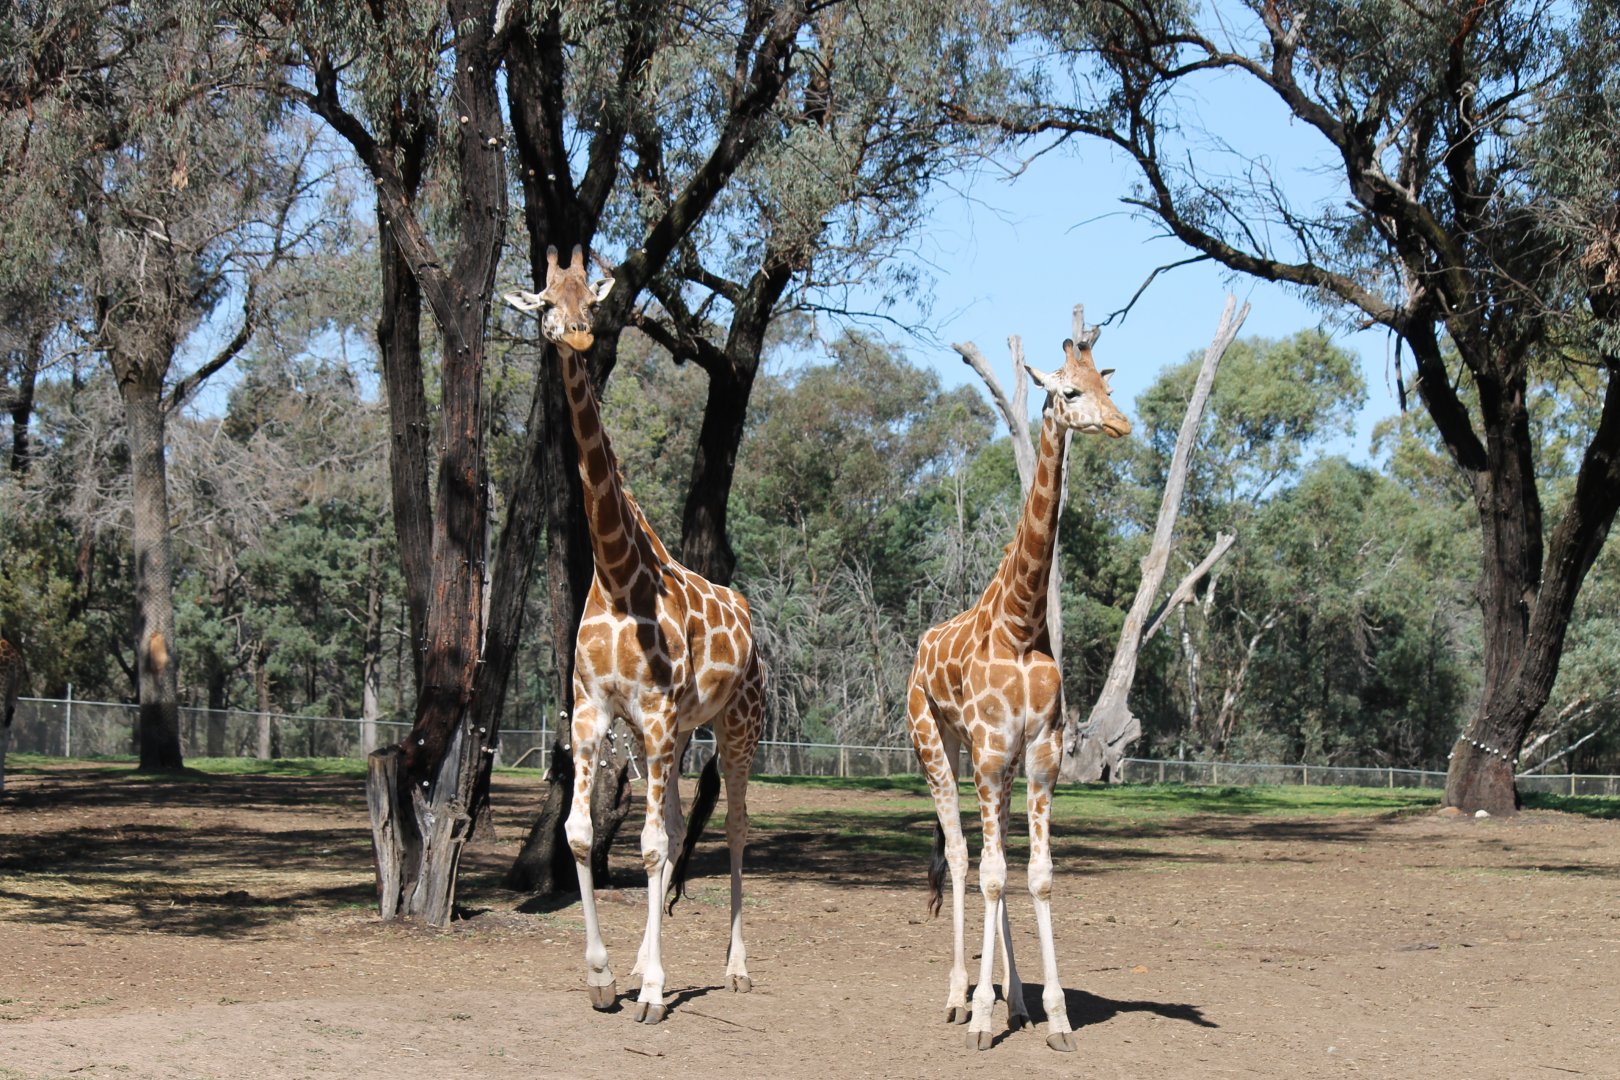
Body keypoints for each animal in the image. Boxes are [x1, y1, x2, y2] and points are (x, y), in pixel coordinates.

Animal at [505, 246, 766, 1025]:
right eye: (544, 302)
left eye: (591, 298)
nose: (579, 335)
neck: (619, 577)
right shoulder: (596, 713)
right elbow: (584, 834)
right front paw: (604, 978)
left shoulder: (649, 715)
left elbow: (647, 847)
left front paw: (650, 991)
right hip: (676, 736)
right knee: (678, 828)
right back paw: (651, 961)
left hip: (737, 726)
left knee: (734, 825)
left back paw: (736, 969)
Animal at [906, 331, 1130, 1051]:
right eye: (1070, 390)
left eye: (1108, 384)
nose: (1121, 424)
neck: (1022, 622)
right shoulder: (988, 749)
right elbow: (990, 874)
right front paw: (979, 1015)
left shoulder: (1040, 754)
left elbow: (1035, 875)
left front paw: (1053, 1014)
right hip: (937, 745)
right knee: (959, 857)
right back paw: (959, 997)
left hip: (991, 767)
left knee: (988, 859)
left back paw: (1017, 1001)